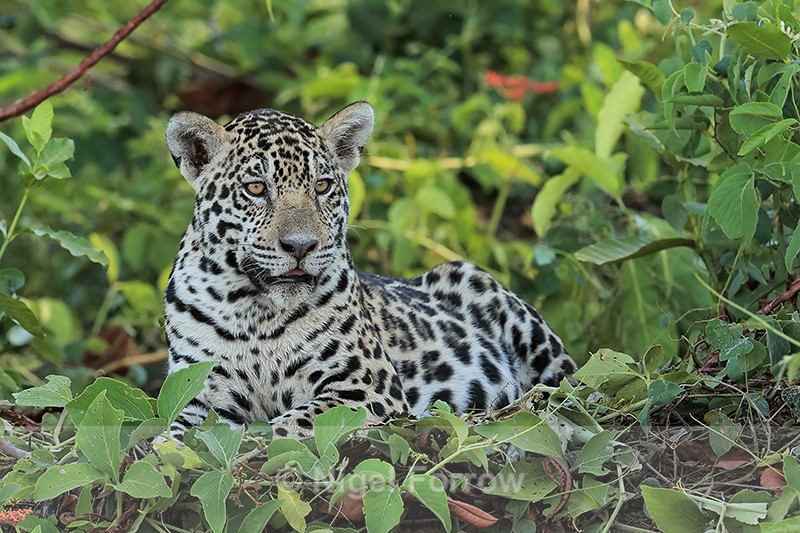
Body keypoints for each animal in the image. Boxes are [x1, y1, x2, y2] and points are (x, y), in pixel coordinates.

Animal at [164, 101, 577, 438]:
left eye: (322, 186)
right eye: (255, 188)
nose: (301, 246)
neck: (256, 312)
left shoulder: (367, 385)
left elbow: (292, 425)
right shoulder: (196, 393)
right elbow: (171, 435)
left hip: (488, 294)